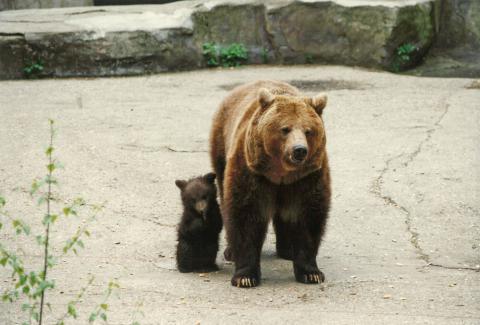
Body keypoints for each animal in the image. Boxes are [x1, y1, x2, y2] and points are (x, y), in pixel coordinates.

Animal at [210, 80, 330, 286]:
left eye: (308, 131)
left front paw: (311, 273)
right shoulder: (251, 171)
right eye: (285, 129)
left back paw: (288, 250)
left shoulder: (308, 178)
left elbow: (308, 216)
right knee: (225, 199)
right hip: (221, 145)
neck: (281, 173)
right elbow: (246, 216)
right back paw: (231, 251)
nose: (299, 150)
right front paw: (245, 276)